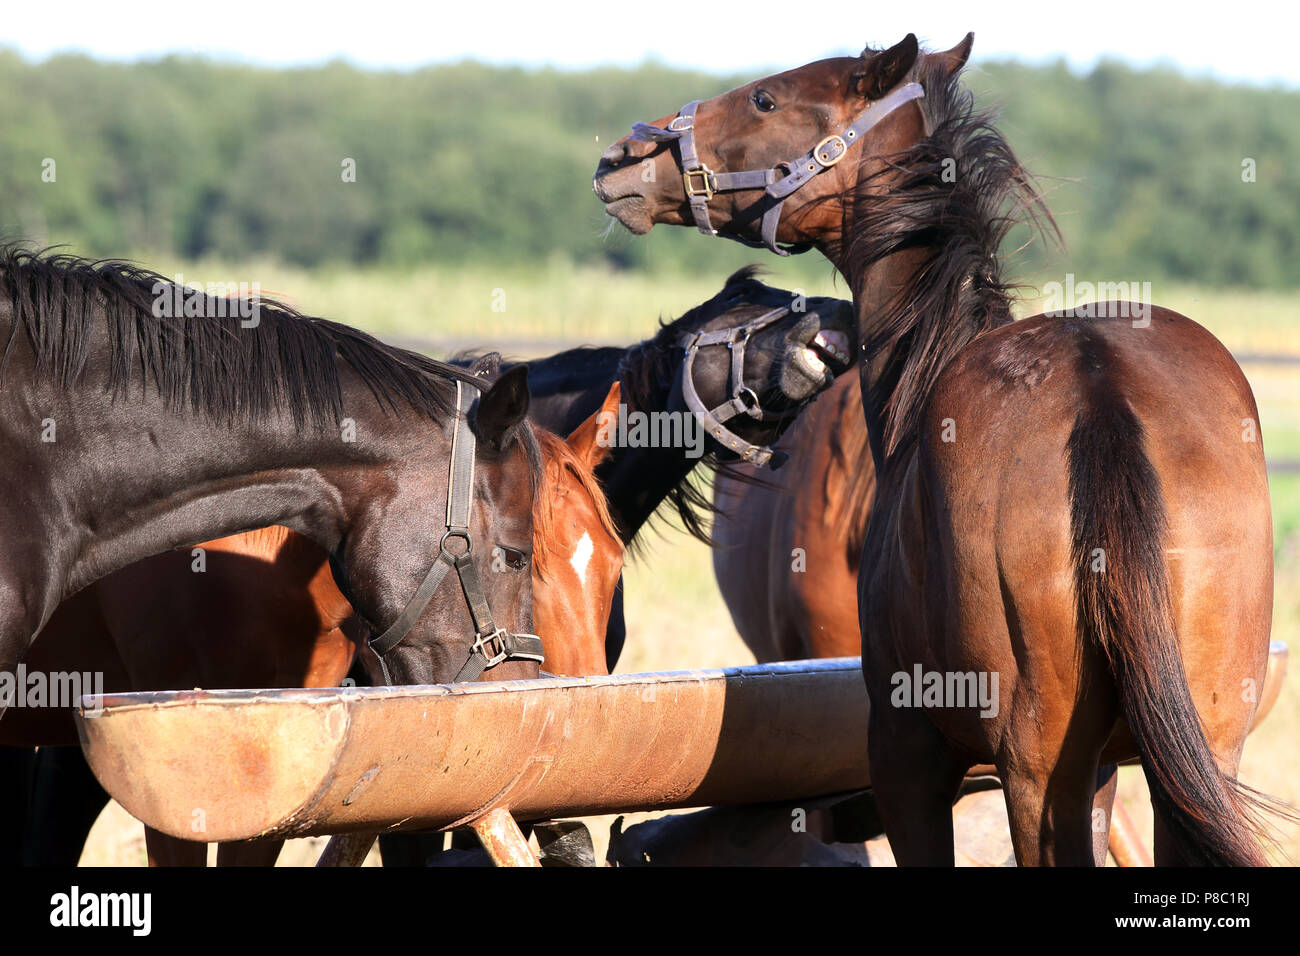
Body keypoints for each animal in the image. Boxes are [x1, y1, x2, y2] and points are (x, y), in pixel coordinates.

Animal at [595, 33, 1284, 863]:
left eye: (766, 98)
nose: (625, 155)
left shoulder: (907, 758)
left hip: (1034, 770)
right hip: (1196, 757)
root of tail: (1098, 383)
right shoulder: (1106, 774)